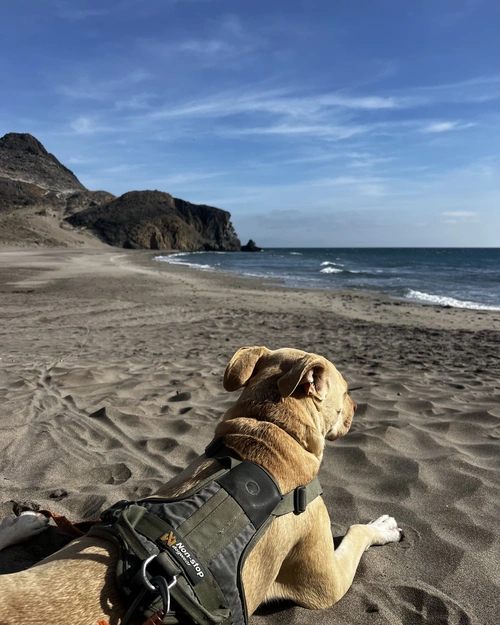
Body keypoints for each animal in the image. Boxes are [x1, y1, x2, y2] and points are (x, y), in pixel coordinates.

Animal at [0, 346, 400, 624]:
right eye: (346, 392)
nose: (359, 406)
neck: (270, 432)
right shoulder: (325, 581)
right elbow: (357, 533)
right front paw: (381, 526)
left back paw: (22, 522)